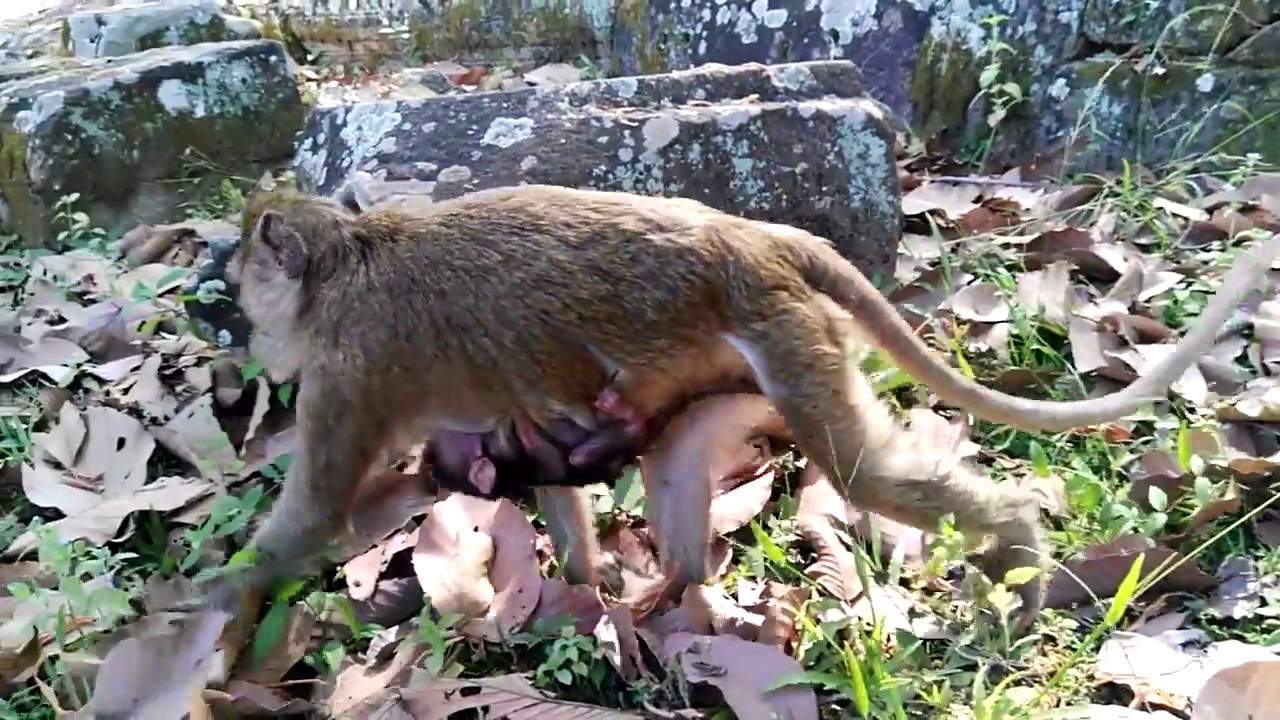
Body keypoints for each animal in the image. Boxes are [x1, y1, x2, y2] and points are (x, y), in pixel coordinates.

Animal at [206, 180, 1280, 635]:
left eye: (244, 266)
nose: (230, 311)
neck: (344, 262)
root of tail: (753, 237)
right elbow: (540, 480)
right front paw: (582, 578)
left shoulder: (348, 370)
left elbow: (319, 509)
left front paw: (212, 598)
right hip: (752, 357)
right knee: (678, 460)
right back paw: (667, 594)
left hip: (788, 337)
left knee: (861, 472)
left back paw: (1015, 551)